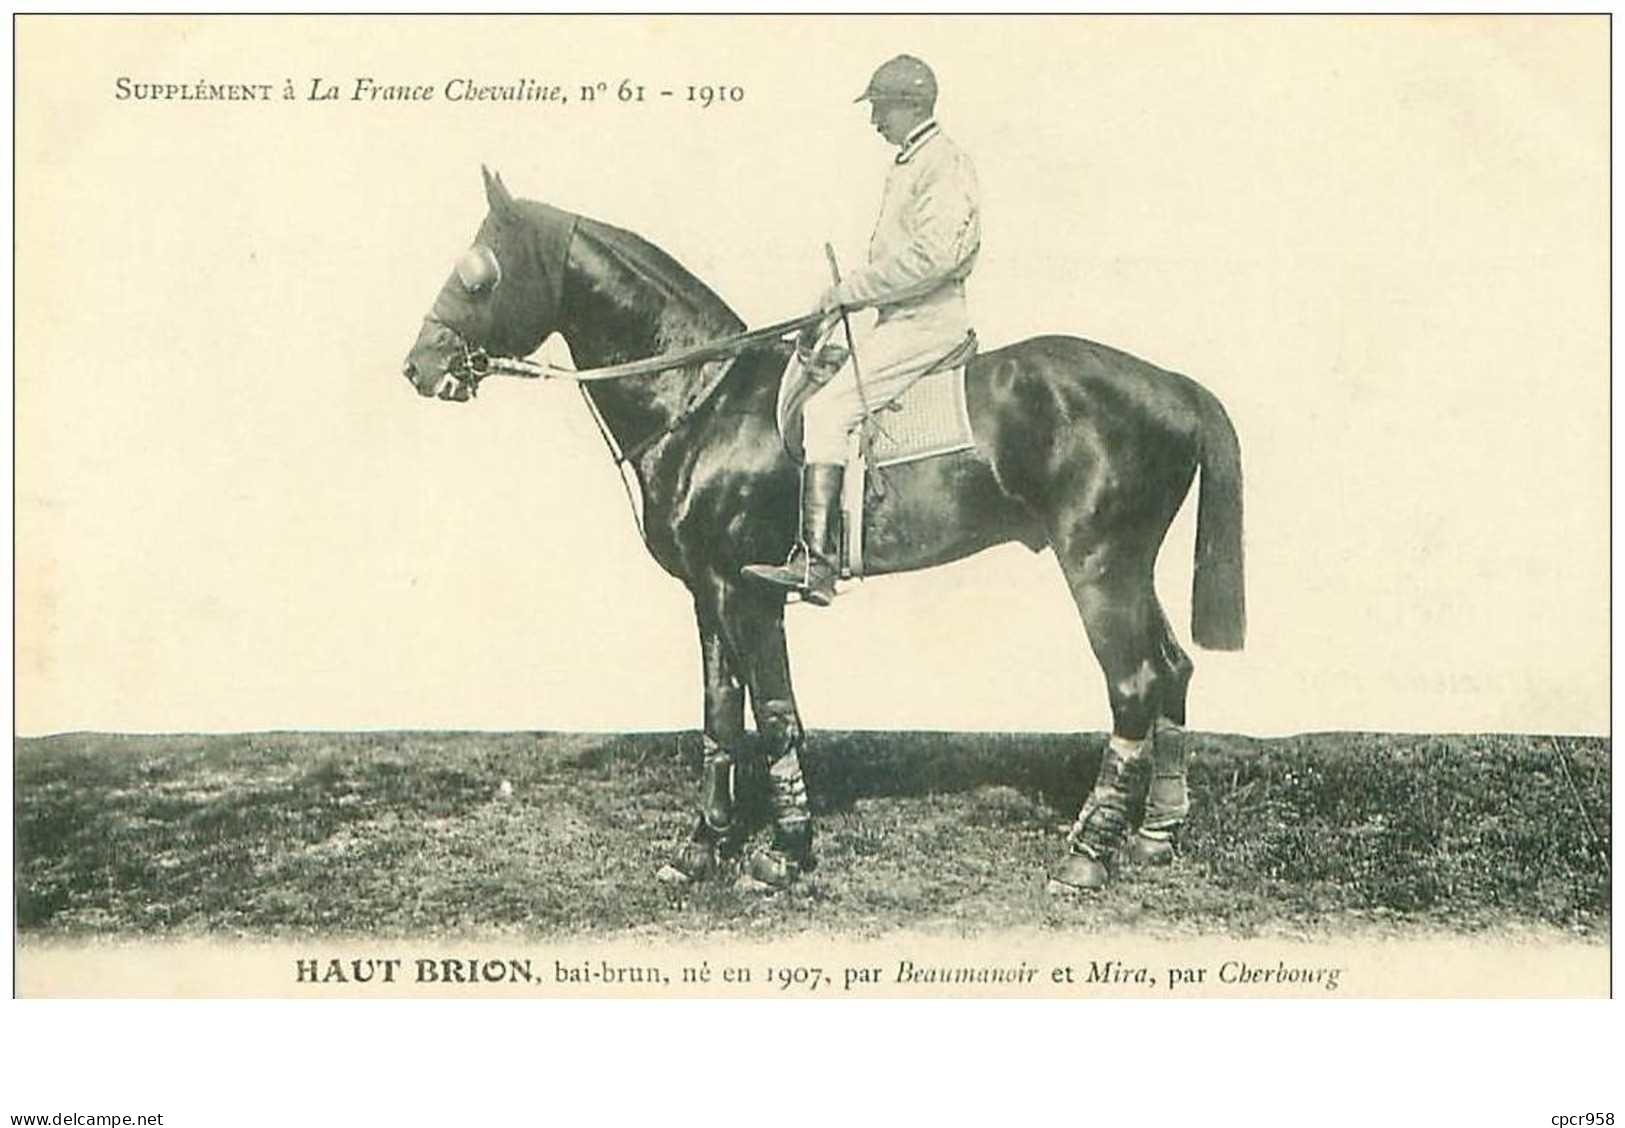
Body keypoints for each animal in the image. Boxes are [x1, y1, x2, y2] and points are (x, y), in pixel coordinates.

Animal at [406, 168, 1241, 890]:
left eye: (478, 274)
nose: (420, 366)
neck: (706, 398)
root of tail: (1173, 384)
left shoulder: (747, 591)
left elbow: (775, 717)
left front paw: (782, 851)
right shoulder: (706, 592)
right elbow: (720, 717)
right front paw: (703, 846)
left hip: (1097, 564)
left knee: (1132, 686)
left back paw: (1086, 855)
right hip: (1131, 565)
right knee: (1172, 671)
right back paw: (1154, 834)